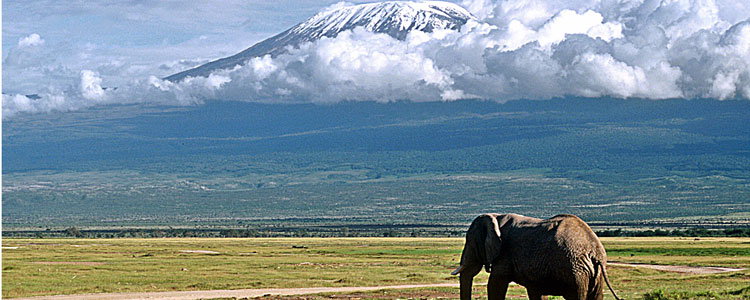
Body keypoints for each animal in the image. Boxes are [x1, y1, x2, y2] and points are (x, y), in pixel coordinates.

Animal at [452, 212, 624, 300]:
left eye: (469, 241)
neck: (495, 216)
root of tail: (595, 252)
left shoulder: (504, 255)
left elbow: (495, 285)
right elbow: (535, 291)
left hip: (575, 271)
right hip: (592, 273)